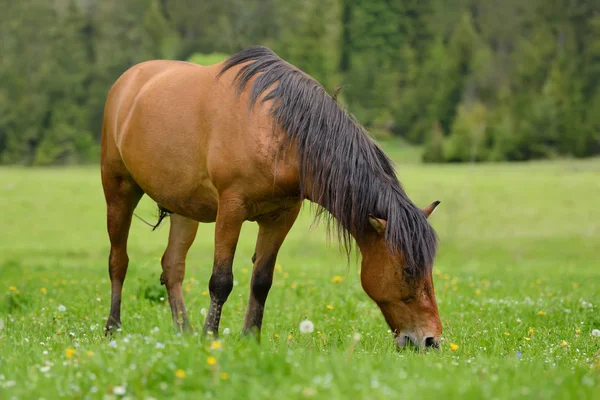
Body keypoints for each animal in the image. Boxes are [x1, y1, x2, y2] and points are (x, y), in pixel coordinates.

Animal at [101, 45, 442, 348]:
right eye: (407, 270)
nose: (431, 340)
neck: (277, 132)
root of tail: (127, 82)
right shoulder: (231, 210)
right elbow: (221, 281)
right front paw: (210, 337)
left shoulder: (280, 218)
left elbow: (262, 280)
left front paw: (250, 338)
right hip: (118, 190)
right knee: (119, 261)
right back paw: (113, 328)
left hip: (185, 210)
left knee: (172, 267)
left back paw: (184, 332)